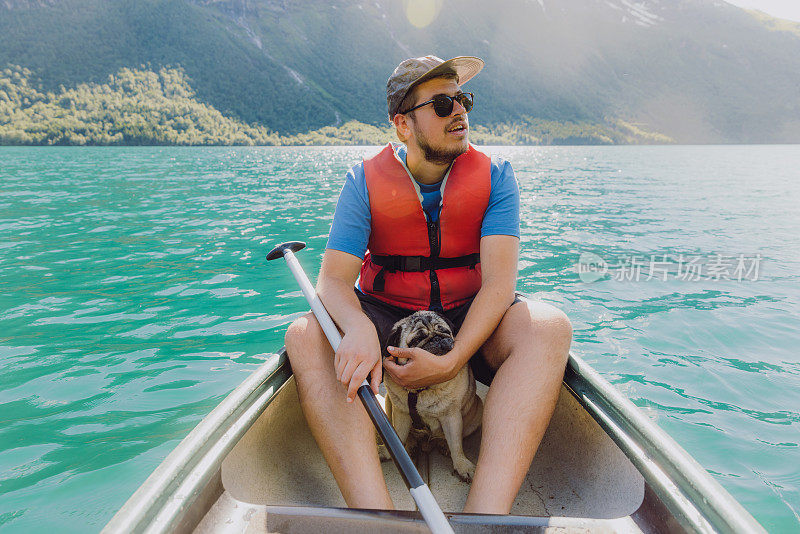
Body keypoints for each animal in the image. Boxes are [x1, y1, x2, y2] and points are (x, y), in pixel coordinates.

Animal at [382, 312, 482, 484]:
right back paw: (411, 444)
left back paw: (443, 444)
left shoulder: (451, 417)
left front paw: (462, 466)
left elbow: (456, 444)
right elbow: (398, 435)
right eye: (417, 340)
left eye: (445, 332)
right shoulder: (401, 414)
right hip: (389, 402)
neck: (422, 389)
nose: (437, 338)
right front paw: (392, 452)